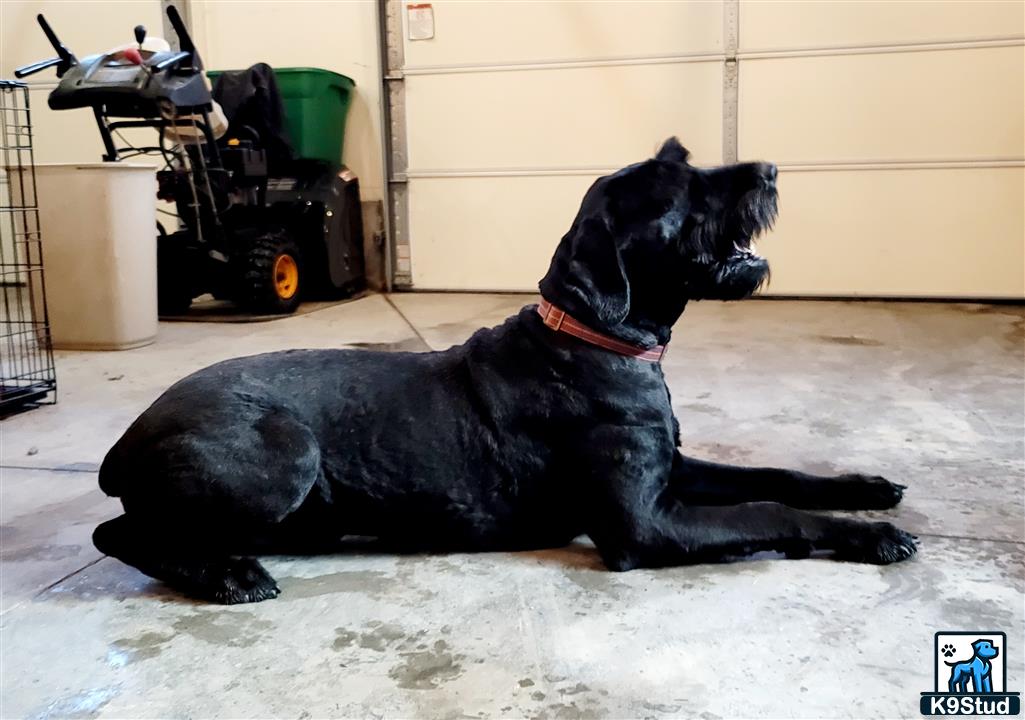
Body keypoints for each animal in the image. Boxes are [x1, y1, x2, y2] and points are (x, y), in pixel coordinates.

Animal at [94, 139, 914, 603]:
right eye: (680, 190)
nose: (771, 170)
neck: (595, 337)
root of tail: (121, 444)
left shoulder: (673, 471)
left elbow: (775, 477)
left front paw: (864, 488)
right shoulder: (642, 524)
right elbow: (766, 512)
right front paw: (871, 535)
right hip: (283, 457)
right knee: (119, 534)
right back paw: (226, 574)